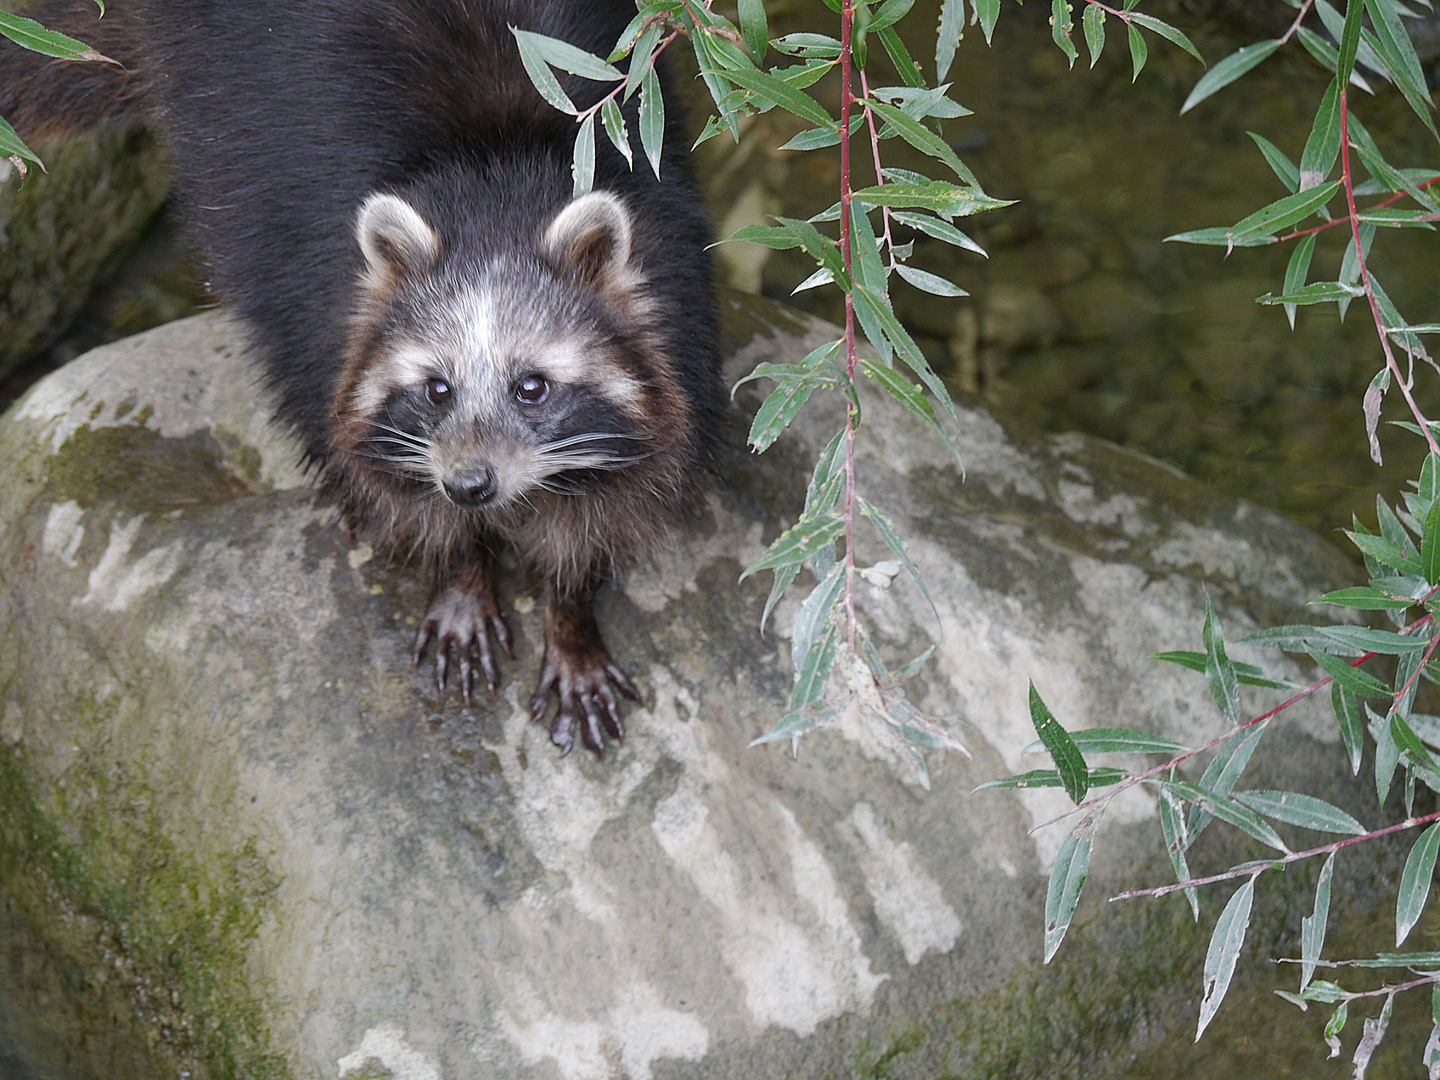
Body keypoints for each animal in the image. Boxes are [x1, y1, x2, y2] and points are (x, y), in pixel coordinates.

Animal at [0, 2, 720, 760]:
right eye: (437, 389)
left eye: (532, 387)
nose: (470, 486)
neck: (493, 184)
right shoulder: (305, 287)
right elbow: (366, 455)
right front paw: (459, 566)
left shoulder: (678, 287)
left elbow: (616, 500)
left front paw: (571, 610)